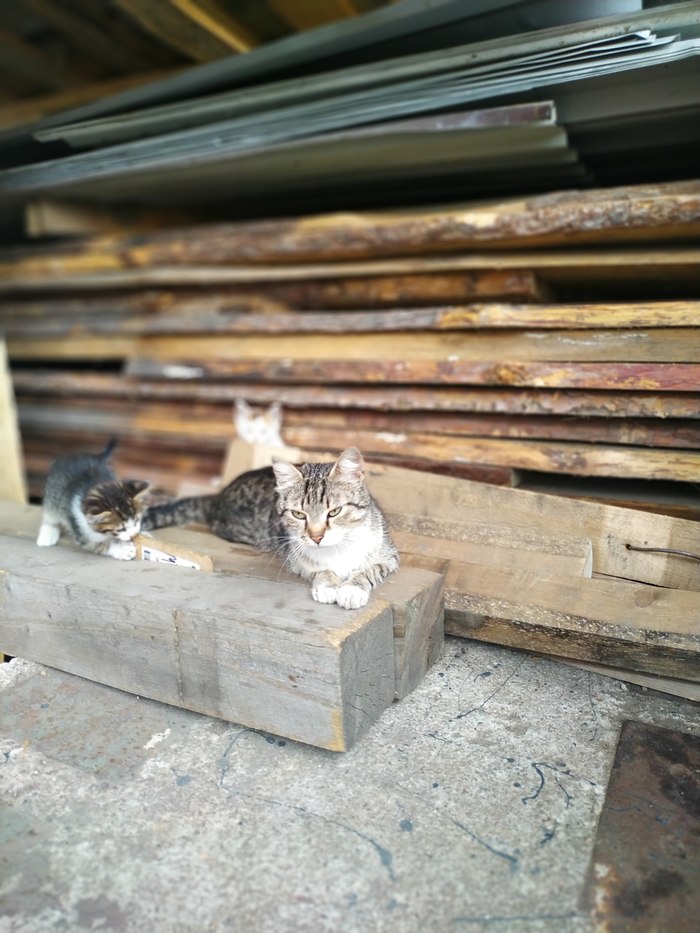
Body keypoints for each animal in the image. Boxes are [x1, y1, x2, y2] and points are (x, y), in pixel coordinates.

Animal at [142, 446, 398, 609]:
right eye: (298, 514)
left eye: (334, 511)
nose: (316, 537)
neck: (338, 550)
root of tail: (220, 494)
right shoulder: (295, 558)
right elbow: (319, 569)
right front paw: (328, 584)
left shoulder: (389, 556)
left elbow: (370, 570)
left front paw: (352, 589)